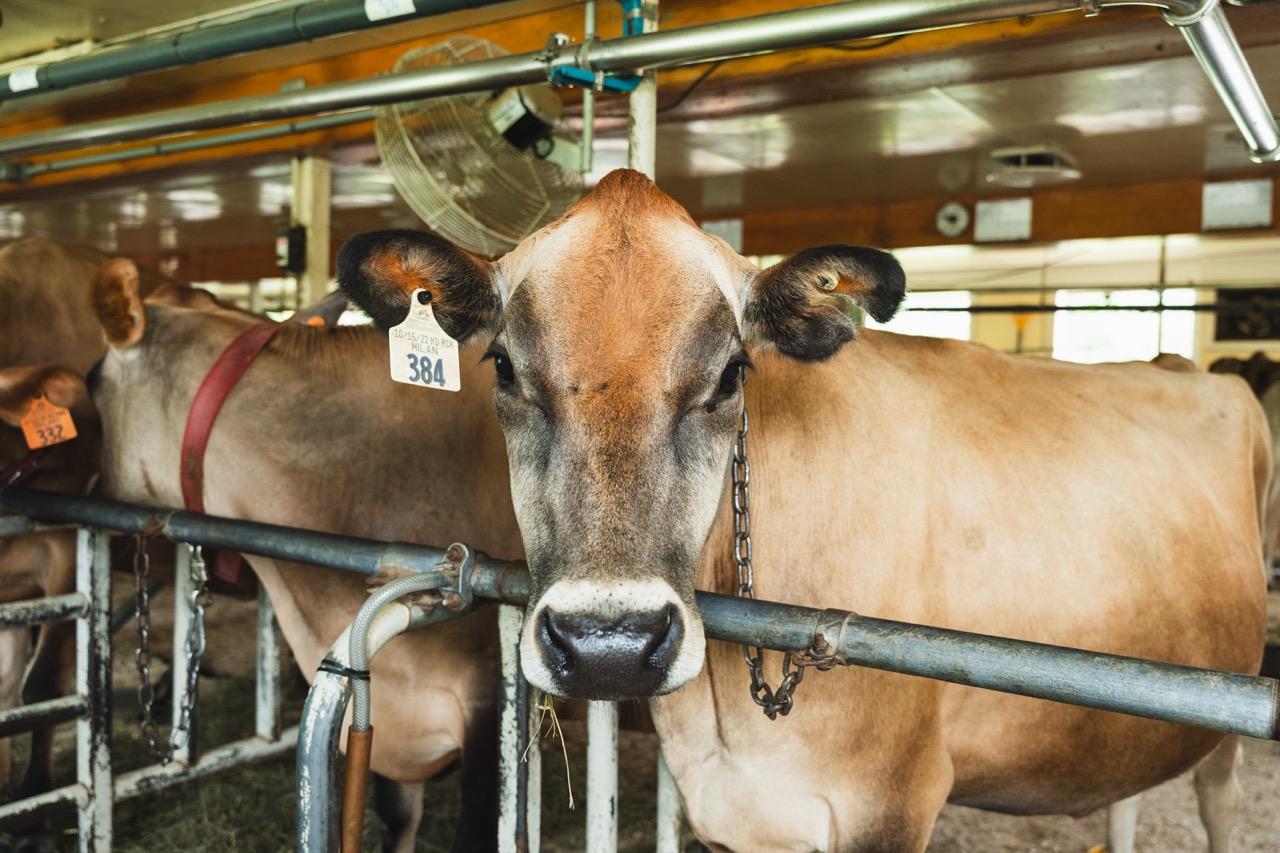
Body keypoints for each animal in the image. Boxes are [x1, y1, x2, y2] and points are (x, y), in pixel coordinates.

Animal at [338, 168, 1268, 852]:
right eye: (502, 366)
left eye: (731, 374)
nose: (610, 645)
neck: (726, 721)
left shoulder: (891, 803)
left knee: (1222, 800)